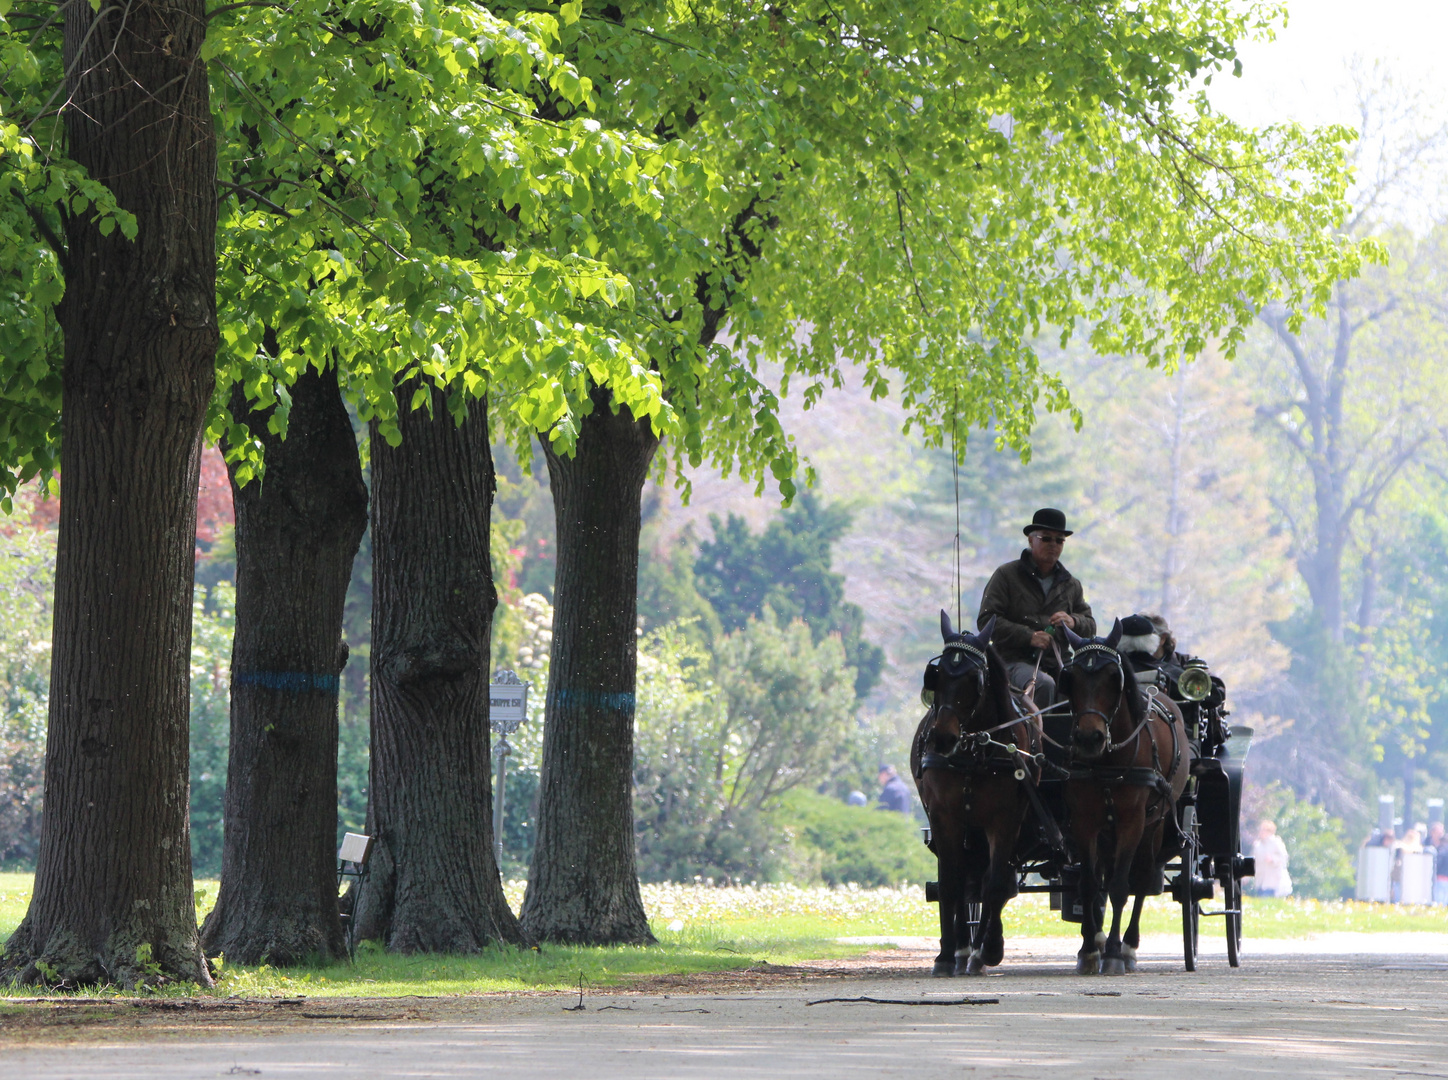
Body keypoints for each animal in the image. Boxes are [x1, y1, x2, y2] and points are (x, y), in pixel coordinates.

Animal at [915, 610, 1042, 972]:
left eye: (975, 678)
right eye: (938, 675)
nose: (942, 738)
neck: (974, 751)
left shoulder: (1005, 820)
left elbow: (995, 883)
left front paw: (989, 948)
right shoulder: (945, 818)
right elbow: (951, 882)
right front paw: (947, 954)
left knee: (986, 881)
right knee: (966, 879)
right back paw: (961, 947)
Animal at [1059, 619, 1181, 972]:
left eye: (1114, 677)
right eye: (1069, 678)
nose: (1089, 738)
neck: (1109, 761)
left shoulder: (1132, 822)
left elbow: (1119, 887)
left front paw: (1113, 951)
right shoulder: (1085, 822)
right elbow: (1089, 884)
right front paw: (1089, 948)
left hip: (1154, 826)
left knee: (1140, 879)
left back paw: (1128, 946)